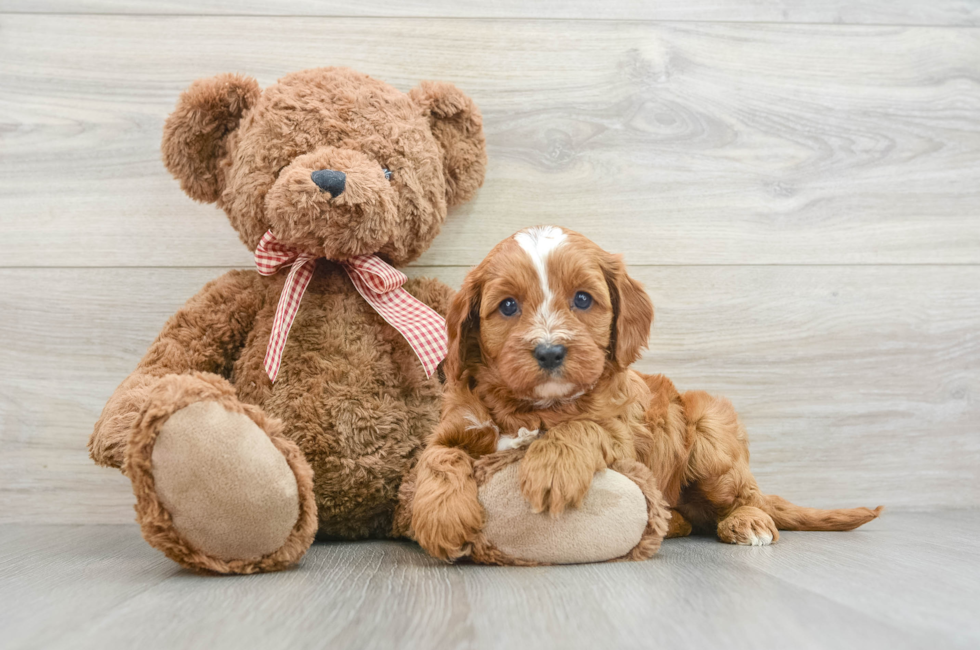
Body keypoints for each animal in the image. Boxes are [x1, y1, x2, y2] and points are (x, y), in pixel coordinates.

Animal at [410, 227, 884, 556]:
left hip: (710, 431)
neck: (537, 407)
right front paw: (440, 517)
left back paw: (748, 522)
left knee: (746, 495)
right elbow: (437, 457)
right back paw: (671, 523)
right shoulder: (455, 425)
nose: (549, 351)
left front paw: (552, 469)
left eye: (583, 299)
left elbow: (584, 427)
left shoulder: (623, 435)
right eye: (507, 306)